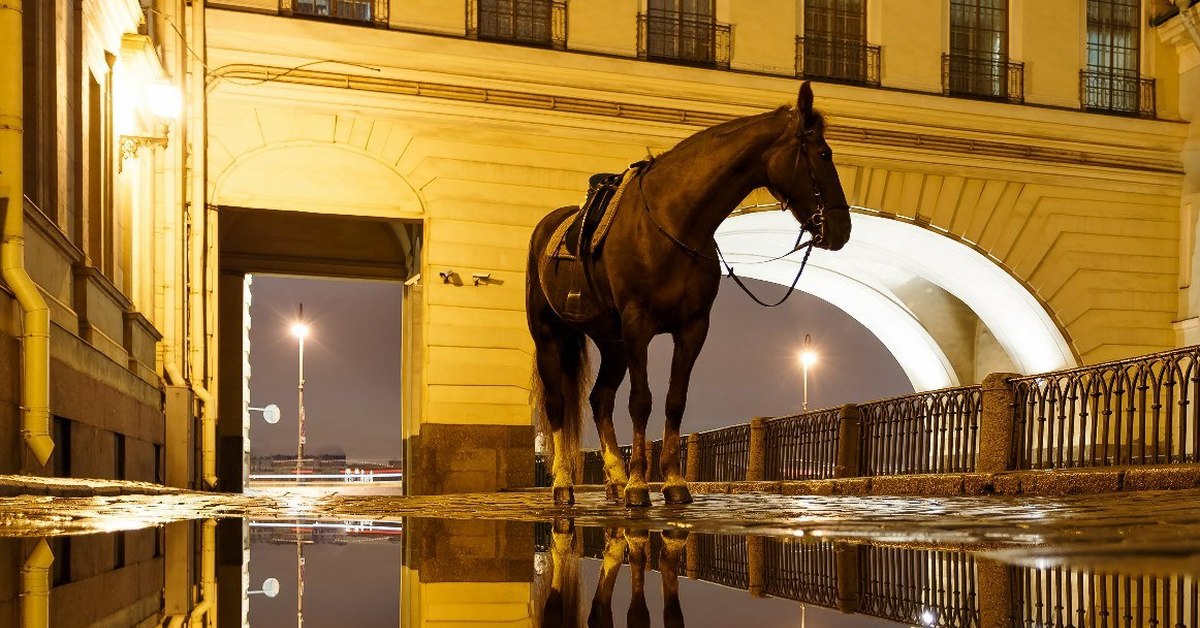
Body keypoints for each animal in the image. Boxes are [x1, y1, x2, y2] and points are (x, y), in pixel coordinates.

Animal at [528, 81, 854, 509]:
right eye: (823, 153)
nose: (842, 228)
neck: (675, 221)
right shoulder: (638, 325)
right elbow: (641, 401)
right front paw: (639, 485)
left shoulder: (692, 328)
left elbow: (675, 400)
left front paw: (672, 481)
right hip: (552, 336)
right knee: (557, 405)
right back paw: (565, 483)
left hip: (612, 343)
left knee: (599, 400)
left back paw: (614, 479)